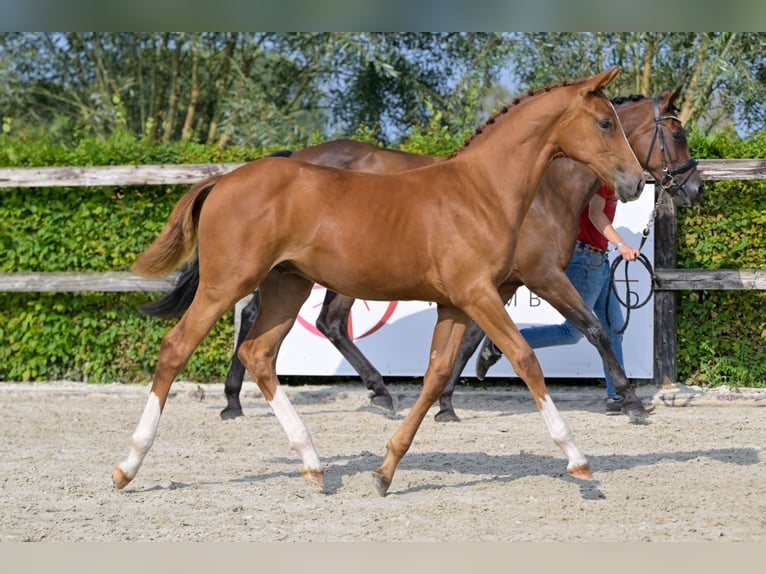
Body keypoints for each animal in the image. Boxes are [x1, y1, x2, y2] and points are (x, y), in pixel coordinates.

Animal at [117, 67, 644, 498]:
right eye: (605, 123)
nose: (636, 182)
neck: (480, 193)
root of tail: (222, 181)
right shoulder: (480, 293)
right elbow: (526, 358)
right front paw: (579, 462)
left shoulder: (455, 304)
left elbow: (436, 376)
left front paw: (385, 471)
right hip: (226, 283)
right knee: (177, 347)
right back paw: (128, 466)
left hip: (287, 288)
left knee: (258, 354)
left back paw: (314, 466)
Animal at [141, 88, 704, 426]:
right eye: (676, 133)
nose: (694, 187)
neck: (538, 187)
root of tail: (291, 157)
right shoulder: (541, 275)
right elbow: (594, 328)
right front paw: (632, 401)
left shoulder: (491, 285)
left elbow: (469, 339)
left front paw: (452, 397)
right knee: (303, 320)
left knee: (294, 320)